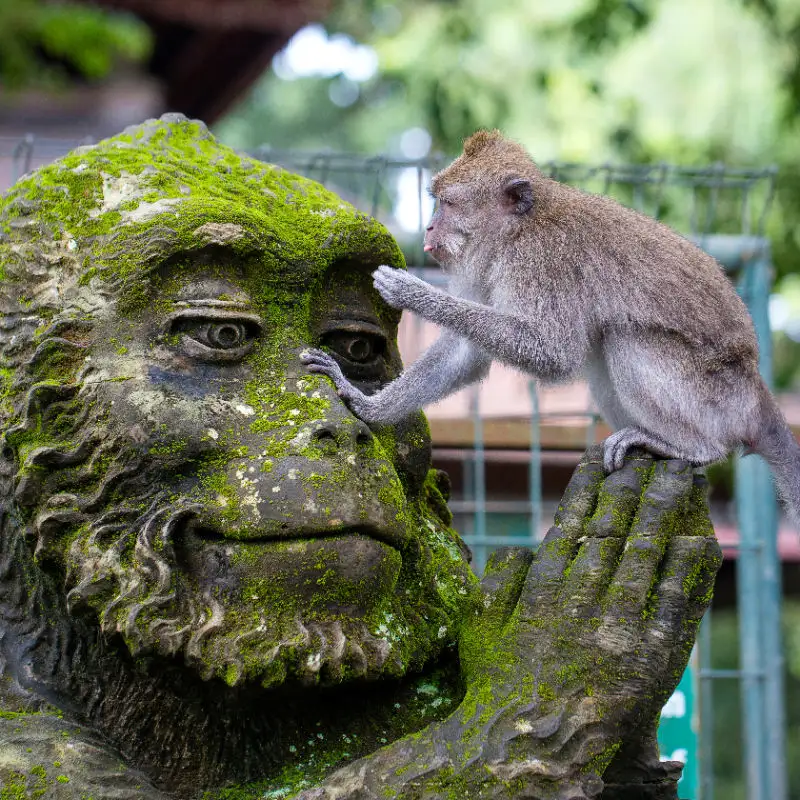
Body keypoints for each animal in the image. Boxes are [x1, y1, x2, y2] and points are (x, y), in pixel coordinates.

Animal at [301, 129, 800, 527]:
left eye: (447, 203)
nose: (427, 228)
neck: (519, 230)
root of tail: (755, 392)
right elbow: (468, 354)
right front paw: (364, 404)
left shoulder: (541, 261)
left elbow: (551, 353)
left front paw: (413, 293)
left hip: (714, 397)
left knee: (623, 339)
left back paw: (694, 448)